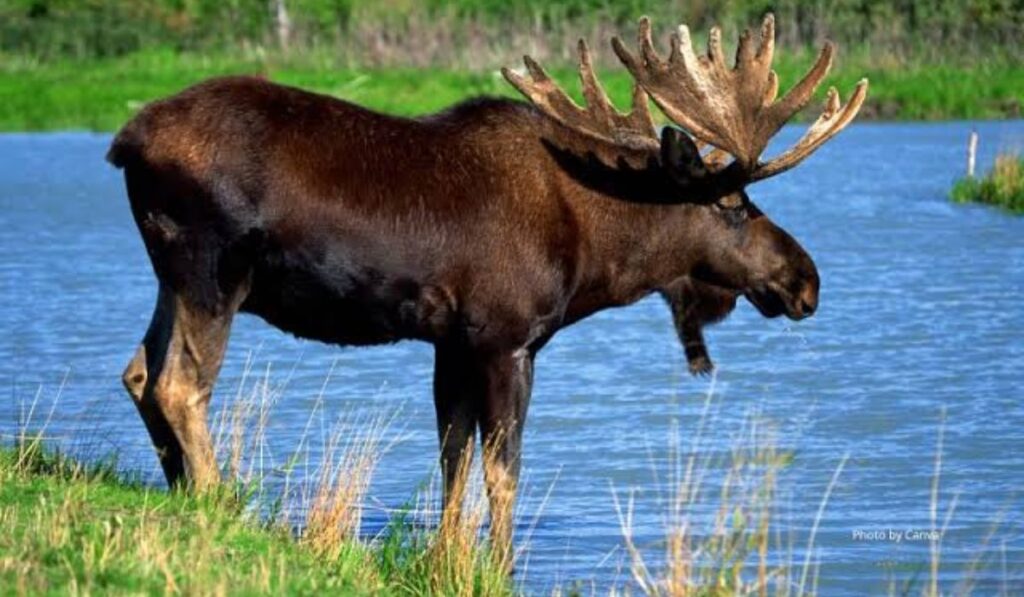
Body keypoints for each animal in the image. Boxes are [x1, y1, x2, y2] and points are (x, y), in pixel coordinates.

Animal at [107, 14, 866, 566]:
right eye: (734, 203)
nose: (806, 280)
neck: (598, 251)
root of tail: (124, 141)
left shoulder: (453, 341)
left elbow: (453, 457)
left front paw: (447, 558)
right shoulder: (507, 338)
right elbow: (504, 468)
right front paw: (500, 564)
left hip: (171, 275)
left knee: (139, 370)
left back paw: (183, 494)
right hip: (213, 269)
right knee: (180, 383)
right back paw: (217, 503)